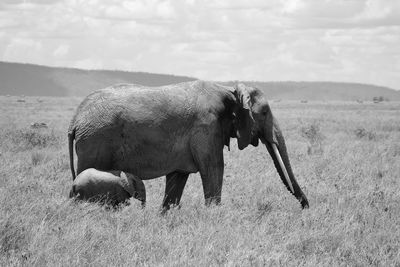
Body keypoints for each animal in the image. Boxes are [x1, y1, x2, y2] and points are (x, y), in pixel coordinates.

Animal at [68, 80, 310, 210]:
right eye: (265, 112)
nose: (305, 207)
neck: (229, 90)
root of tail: (75, 119)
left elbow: (177, 179)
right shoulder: (206, 128)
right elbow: (214, 169)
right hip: (95, 141)